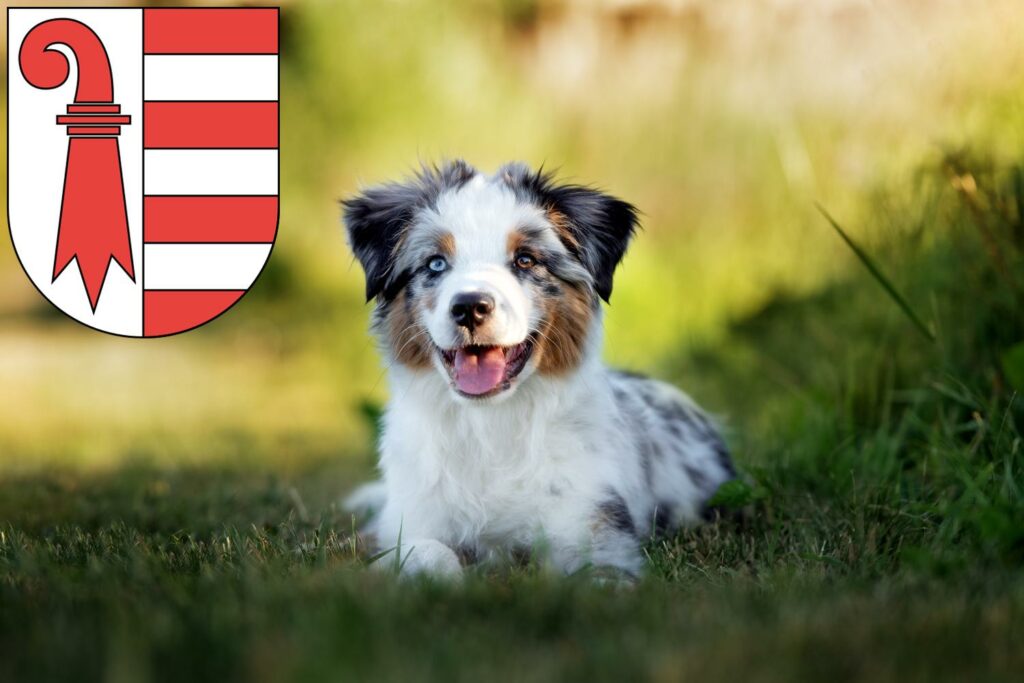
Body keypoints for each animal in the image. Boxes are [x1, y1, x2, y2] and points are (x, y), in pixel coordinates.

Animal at [344, 160, 737, 577]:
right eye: (435, 263)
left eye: (525, 260)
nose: (469, 307)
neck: (490, 426)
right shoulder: (409, 521)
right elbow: (428, 553)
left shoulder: (597, 527)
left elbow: (594, 573)